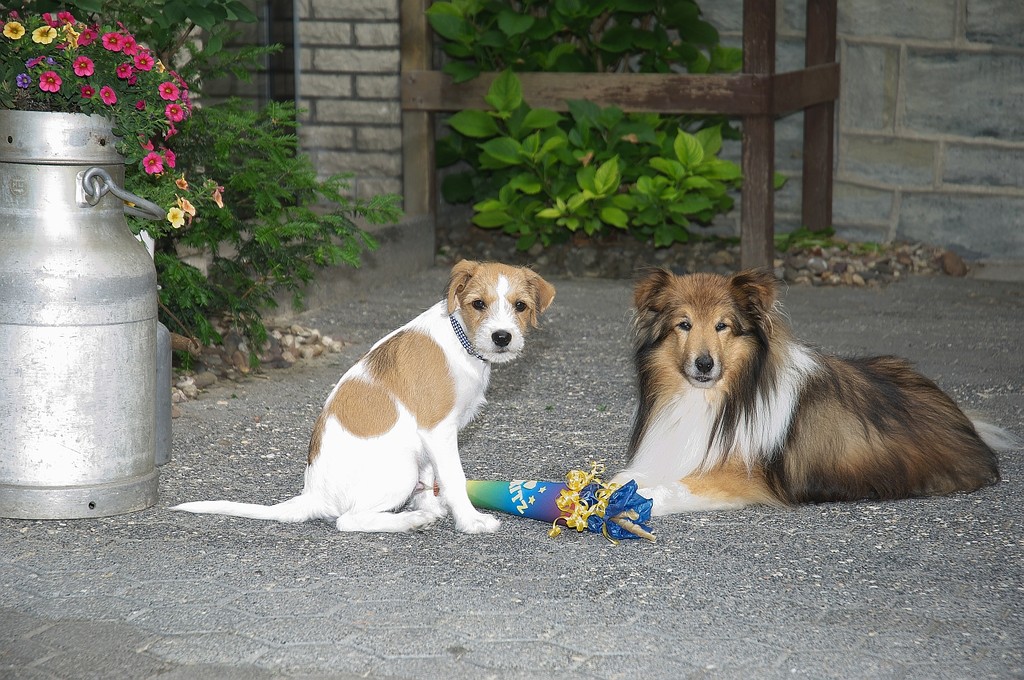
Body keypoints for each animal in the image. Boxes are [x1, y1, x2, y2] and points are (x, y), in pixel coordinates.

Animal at [177, 260, 561, 532]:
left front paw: (435, 507)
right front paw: (470, 521)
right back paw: (408, 521)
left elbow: (433, 480)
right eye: (478, 304)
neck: (460, 339)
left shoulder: (431, 441)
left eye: (521, 306)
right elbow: (454, 478)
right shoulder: (438, 430)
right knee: (349, 520)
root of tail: (312, 496)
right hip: (401, 467)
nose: (502, 337)